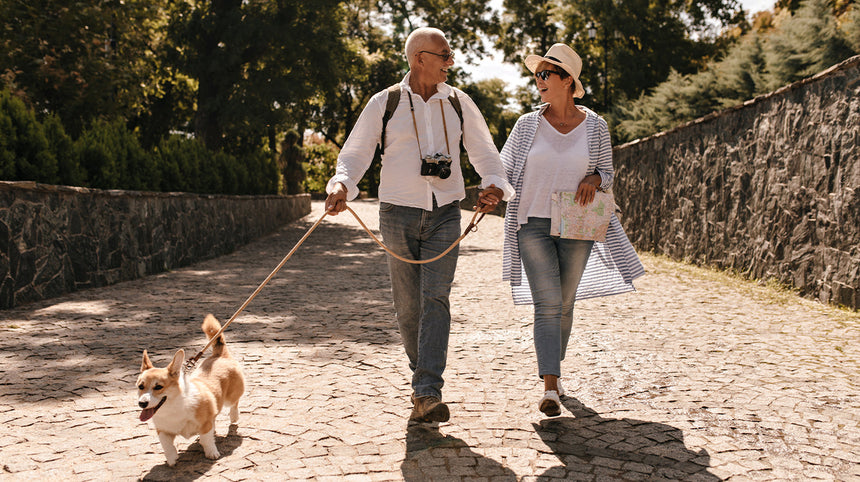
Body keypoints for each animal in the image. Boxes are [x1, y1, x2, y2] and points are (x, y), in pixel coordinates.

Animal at [137, 314, 245, 466]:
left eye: (158, 387)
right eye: (140, 386)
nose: (142, 403)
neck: (172, 407)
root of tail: (219, 355)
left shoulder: (205, 425)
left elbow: (206, 439)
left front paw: (212, 453)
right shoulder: (163, 430)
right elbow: (166, 445)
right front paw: (172, 459)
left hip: (231, 397)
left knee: (234, 403)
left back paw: (234, 416)